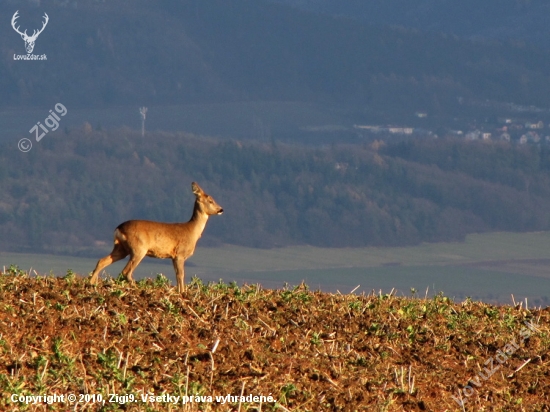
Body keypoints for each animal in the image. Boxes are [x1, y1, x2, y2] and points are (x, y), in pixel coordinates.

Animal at [89, 182, 223, 292]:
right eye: (210, 200)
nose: (221, 209)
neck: (192, 231)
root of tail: (119, 228)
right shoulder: (179, 254)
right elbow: (181, 275)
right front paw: (182, 293)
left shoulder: (173, 257)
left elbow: (177, 275)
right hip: (138, 249)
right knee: (126, 271)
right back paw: (138, 288)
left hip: (121, 248)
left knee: (102, 261)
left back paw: (91, 283)